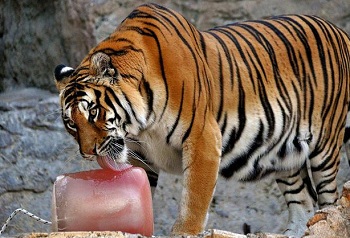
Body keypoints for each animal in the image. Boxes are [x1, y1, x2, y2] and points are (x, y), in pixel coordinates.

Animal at [52, 3, 350, 236]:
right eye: (71, 123)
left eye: (92, 111)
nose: (88, 153)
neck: (140, 125)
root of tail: (340, 31)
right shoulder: (141, 155)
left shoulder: (202, 136)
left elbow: (195, 196)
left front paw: (185, 231)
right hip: (285, 154)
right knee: (303, 203)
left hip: (325, 146)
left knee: (329, 200)